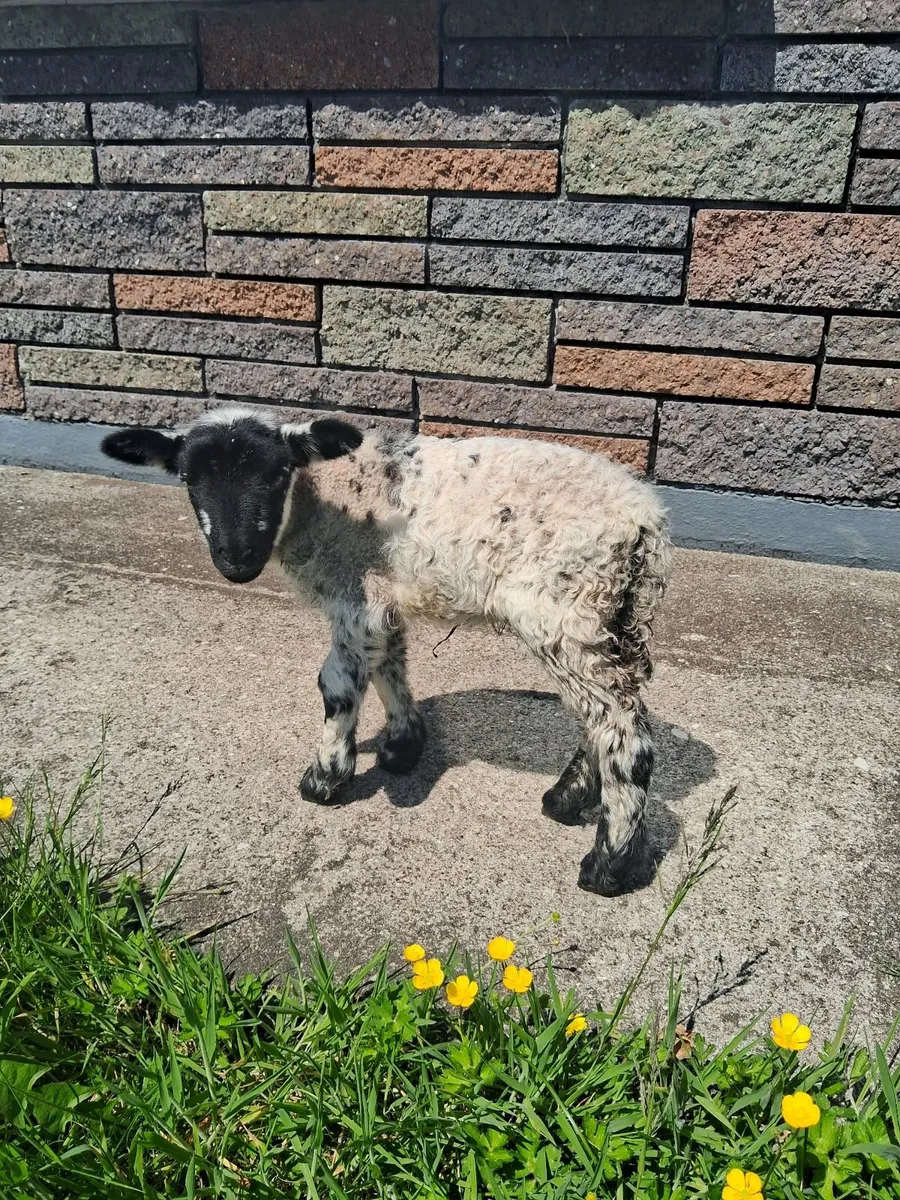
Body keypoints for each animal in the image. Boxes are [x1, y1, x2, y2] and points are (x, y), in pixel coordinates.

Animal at [101, 405, 671, 897]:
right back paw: (567, 799)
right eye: (188, 478)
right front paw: (402, 745)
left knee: (622, 730)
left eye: (278, 473)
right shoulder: (380, 597)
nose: (237, 560)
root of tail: (645, 520)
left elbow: (336, 683)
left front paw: (326, 778)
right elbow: (387, 665)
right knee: (606, 714)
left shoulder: (356, 596)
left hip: (565, 609)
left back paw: (608, 865)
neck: (318, 499)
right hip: (609, 616)